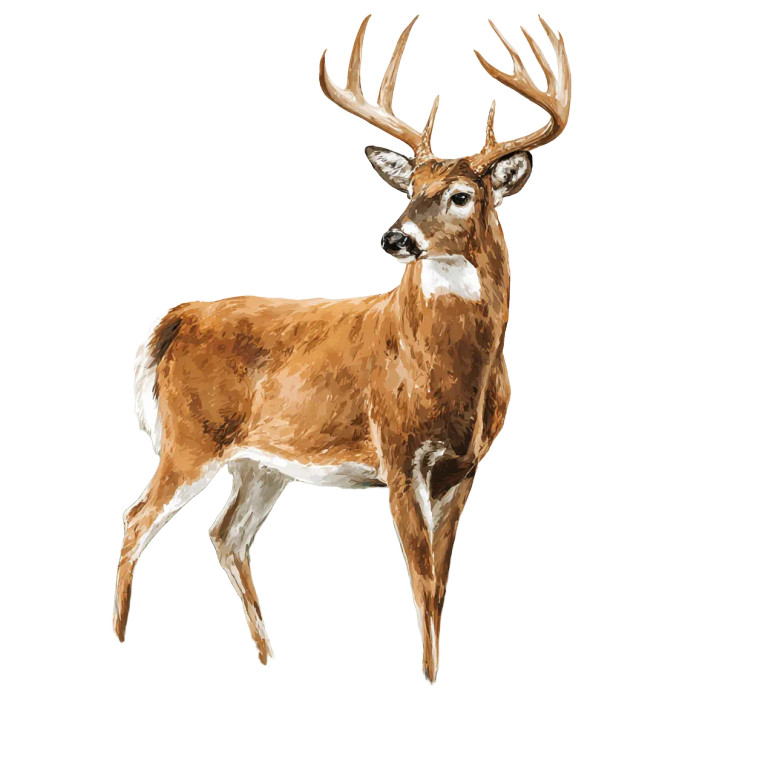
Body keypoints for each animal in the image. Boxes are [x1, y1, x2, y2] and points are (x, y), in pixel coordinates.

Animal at [113, 15, 570, 682]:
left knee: (227, 534)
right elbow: (421, 582)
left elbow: (440, 587)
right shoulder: (399, 453)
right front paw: (428, 677)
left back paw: (268, 657)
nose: (394, 237)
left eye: (460, 194)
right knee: (135, 520)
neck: (448, 371)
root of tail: (179, 316)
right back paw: (120, 641)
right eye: (409, 186)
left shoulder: (465, 467)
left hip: (261, 462)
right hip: (190, 438)